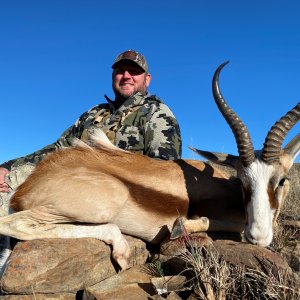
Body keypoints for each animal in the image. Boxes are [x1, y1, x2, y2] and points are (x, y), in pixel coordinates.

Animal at [0, 62, 298, 270]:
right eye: (243, 181)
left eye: (282, 179)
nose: (258, 236)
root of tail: (29, 184)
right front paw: (181, 227)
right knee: (12, 224)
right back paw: (122, 252)